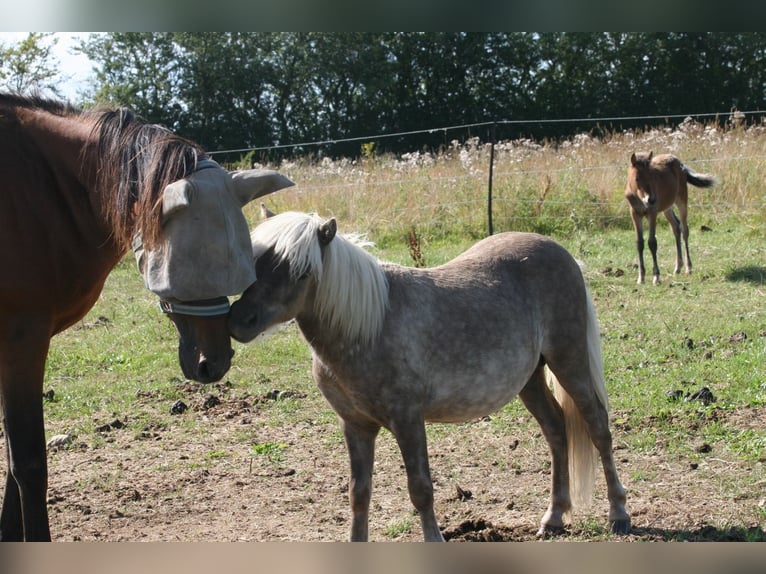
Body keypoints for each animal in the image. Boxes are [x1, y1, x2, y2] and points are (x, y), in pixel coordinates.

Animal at [628, 153, 716, 286]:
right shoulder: (635, 214)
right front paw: (641, 277)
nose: (651, 199)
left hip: (681, 200)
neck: (639, 198)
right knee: (676, 227)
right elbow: (639, 243)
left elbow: (652, 242)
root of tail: (678, 161)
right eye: (637, 178)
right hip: (667, 208)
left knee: (684, 229)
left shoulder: (652, 213)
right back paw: (678, 267)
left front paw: (656, 277)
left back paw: (688, 268)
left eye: (651, 176)